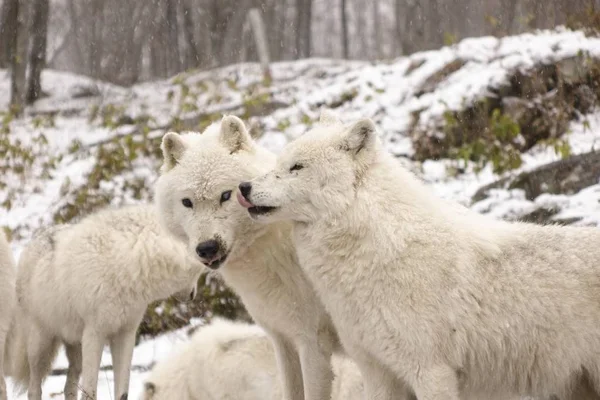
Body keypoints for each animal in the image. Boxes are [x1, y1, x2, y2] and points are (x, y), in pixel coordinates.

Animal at [7, 205, 204, 400]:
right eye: (200, 270)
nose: (193, 295)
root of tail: (32, 241)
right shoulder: (95, 334)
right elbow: (90, 392)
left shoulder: (125, 334)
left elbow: (122, 392)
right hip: (40, 345)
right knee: (34, 389)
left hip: (75, 347)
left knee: (68, 387)